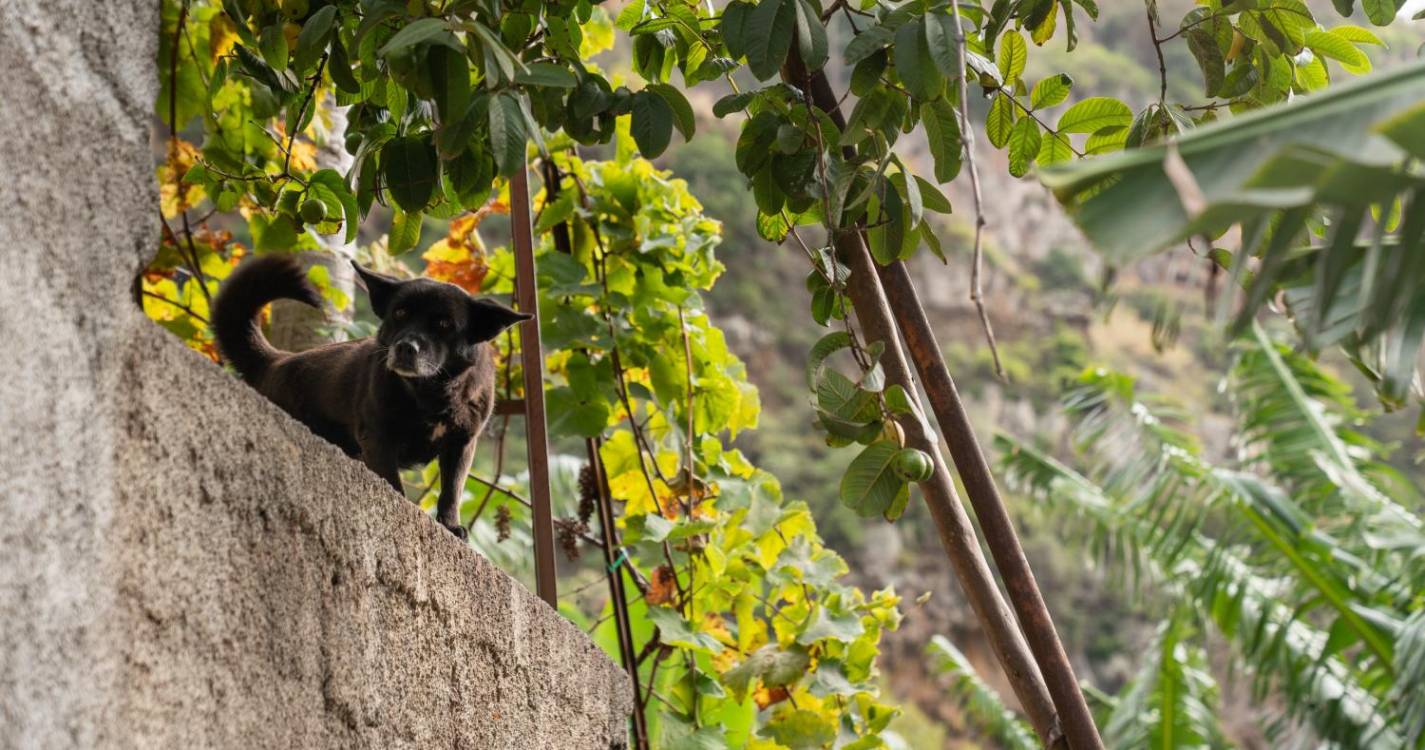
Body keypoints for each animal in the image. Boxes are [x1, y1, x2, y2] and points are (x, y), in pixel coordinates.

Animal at [208, 259, 527, 541]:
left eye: (445, 324)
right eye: (400, 312)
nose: (405, 347)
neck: (430, 393)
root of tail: (275, 362)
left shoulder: (461, 443)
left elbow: (452, 490)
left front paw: (450, 526)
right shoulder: (378, 438)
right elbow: (393, 483)